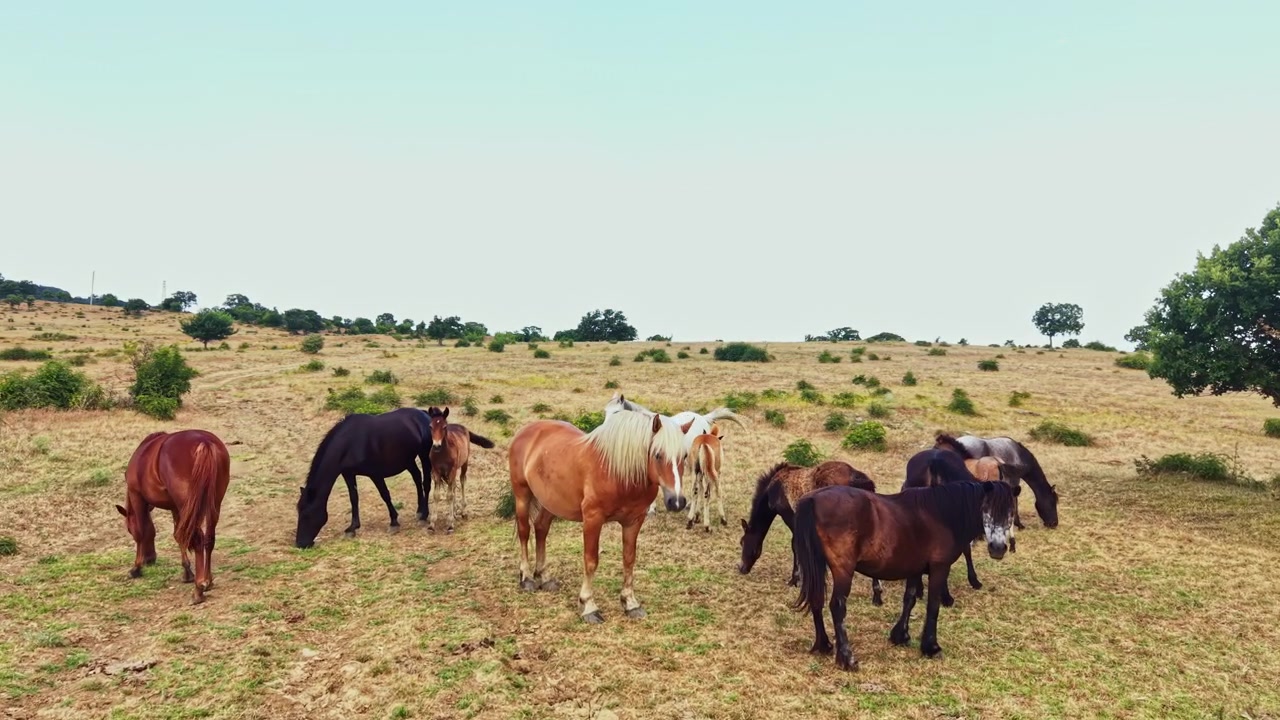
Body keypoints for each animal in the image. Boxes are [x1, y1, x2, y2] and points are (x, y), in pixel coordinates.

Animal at [115, 429, 231, 605]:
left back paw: (199, 589)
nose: (150, 559)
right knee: (209, 539)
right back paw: (208, 580)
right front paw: (187, 572)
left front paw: (136, 568)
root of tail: (204, 442)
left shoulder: (137, 495)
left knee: (198, 540)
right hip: (213, 504)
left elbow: (141, 532)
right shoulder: (175, 507)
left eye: (129, 529)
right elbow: (178, 535)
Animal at [295, 407, 433, 548]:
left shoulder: (375, 474)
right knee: (417, 478)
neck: (350, 443)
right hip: (408, 460)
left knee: (426, 483)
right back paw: (419, 511)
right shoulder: (348, 474)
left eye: (306, 514)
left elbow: (385, 495)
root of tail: (424, 414)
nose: (300, 543)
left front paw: (394, 522)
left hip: (424, 456)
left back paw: (424, 516)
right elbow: (354, 498)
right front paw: (352, 528)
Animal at [507, 408, 687, 624]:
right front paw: (588, 606)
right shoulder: (593, 519)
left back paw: (544, 577)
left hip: (550, 502)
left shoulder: (634, 521)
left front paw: (630, 603)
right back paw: (526, 578)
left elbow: (629, 559)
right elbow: (591, 560)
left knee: (541, 528)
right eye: (658, 455)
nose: (676, 502)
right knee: (525, 532)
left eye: (685, 456)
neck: (618, 472)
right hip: (522, 496)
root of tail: (526, 430)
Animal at [737, 460, 883, 605]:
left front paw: (794, 579)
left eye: (742, 542)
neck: (774, 487)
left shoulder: (790, 517)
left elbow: (795, 545)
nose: (741, 568)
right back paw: (877, 596)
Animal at [791, 477, 1019, 671]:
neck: (941, 514)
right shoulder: (939, 568)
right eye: (987, 510)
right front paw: (931, 646)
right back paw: (847, 658)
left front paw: (900, 635)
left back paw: (824, 645)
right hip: (843, 569)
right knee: (837, 606)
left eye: (1010, 511)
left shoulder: (915, 568)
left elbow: (909, 599)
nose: (998, 548)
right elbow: (933, 605)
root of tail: (813, 499)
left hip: (818, 565)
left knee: (816, 600)